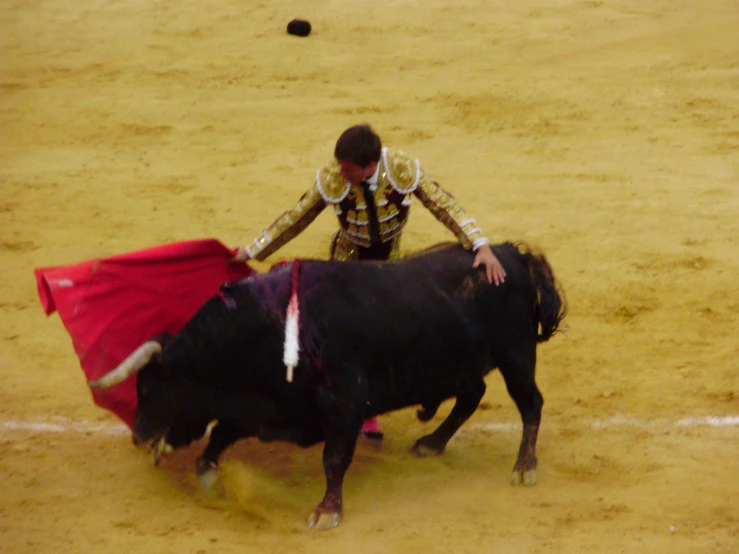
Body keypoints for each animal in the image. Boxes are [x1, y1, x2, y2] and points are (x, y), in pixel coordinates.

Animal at [89, 240, 568, 528]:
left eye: (153, 388)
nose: (138, 435)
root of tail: (511, 254)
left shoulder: (344, 403)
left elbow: (334, 459)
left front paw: (326, 510)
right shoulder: (267, 405)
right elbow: (222, 433)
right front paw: (208, 477)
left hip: (516, 355)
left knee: (531, 404)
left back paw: (524, 467)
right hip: (462, 362)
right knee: (472, 394)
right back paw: (432, 442)